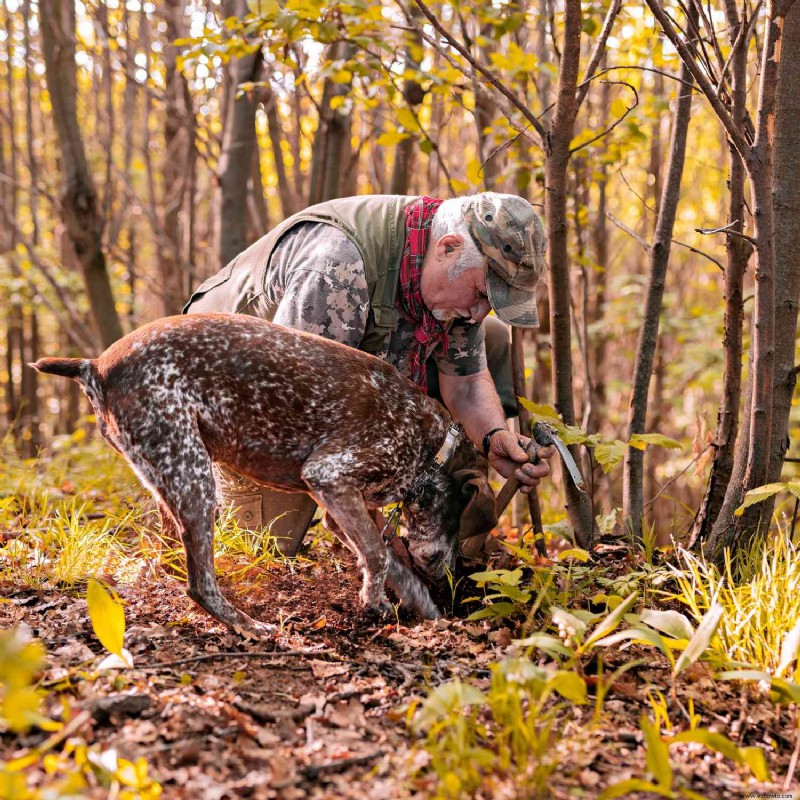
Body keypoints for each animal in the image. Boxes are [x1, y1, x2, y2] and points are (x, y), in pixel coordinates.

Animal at [34, 312, 496, 636]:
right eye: (459, 518)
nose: (445, 571)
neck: (427, 443)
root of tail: (96, 365)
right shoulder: (329, 474)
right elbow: (379, 555)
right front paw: (375, 601)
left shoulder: (340, 505)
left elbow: (386, 560)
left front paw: (421, 607)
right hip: (196, 479)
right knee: (200, 584)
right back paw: (248, 626)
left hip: (172, 472)